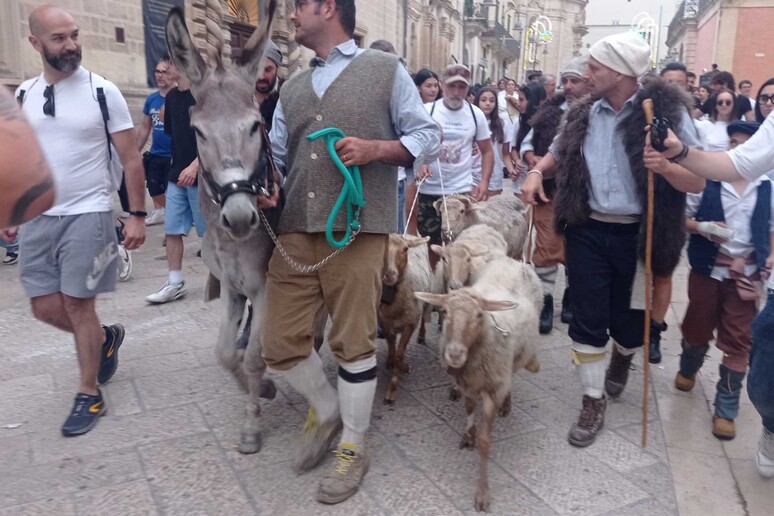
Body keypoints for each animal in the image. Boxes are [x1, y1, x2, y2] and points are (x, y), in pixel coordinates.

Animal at [378, 236, 434, 406]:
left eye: (405, 249)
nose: (390, 274)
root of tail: (410, 236)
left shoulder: (410, 323)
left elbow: (399, 354)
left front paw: (391, 391)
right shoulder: (384, 321)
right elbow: (391, 345)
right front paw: (390, 361)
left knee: (424, 317)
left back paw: (421, 336)